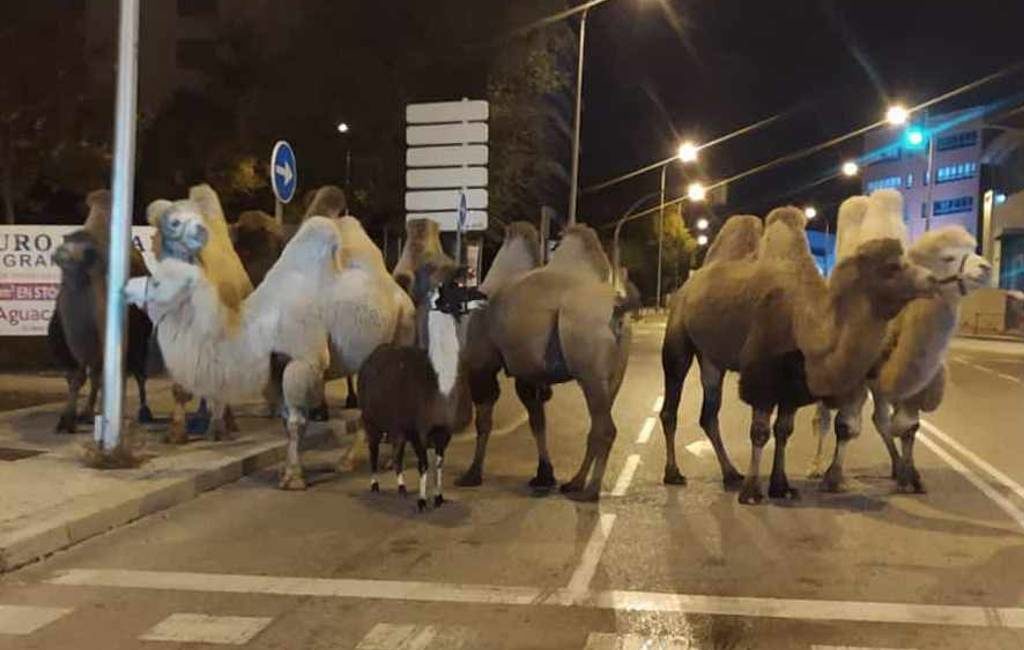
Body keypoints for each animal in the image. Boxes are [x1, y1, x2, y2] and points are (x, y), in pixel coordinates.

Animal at [48, 188, 152, 431]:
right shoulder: (72, 343)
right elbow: (77, 376)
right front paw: (67, 419)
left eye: (83, 253)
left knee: (136, 373)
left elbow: (108, 374)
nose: (59, 254)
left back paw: (143, 411)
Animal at [133, 203, 415, 487]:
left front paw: (293, 478)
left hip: (403, 329)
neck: (259, 325)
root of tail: (400, 292)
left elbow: (296, 420)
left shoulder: (304, 360)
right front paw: (288, 470)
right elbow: (286, 419)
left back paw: (379, 461)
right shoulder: (273, 368)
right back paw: (350, 461)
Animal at [456, 221, 630, 501]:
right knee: (596, 425)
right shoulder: (528, 372)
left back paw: (591, 490)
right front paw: (544, 475)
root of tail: (619, 310)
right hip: (613, 377)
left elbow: (484, 421)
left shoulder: (482, 364)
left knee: (605, 428)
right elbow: (537, 419)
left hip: (590, 370)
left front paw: (472, 474)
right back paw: (575, 482)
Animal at [655, 198, 937, 503]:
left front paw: (781, 486)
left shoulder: (793, 379)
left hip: (711, 358)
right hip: (678, 338)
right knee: (671, 405)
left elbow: (783, 430)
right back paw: (673, 474)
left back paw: (730, 474)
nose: (932, 279)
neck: (805, 320)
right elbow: (760, 432)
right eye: (891, 267)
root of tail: (685, 288)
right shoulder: (762, 375)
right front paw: (752, 492)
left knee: (709, 413)